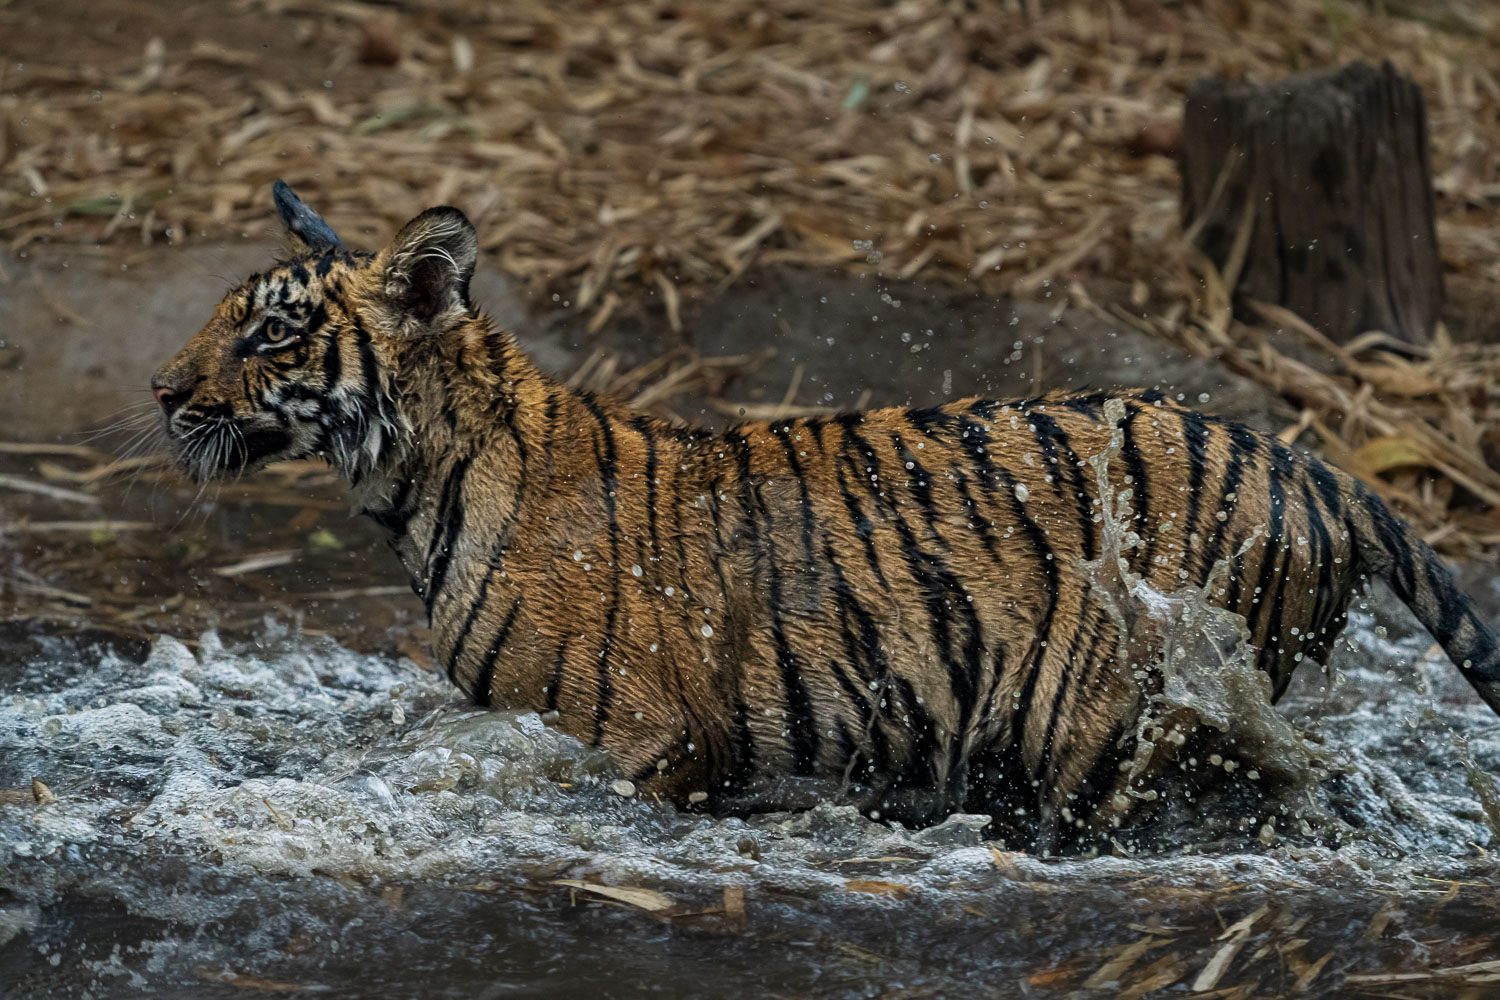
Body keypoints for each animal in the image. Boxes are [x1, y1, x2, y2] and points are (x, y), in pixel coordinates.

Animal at [149, 181, 1500, 852]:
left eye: (268, 335)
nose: (161, 391)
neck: (420, 482)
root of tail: (1313, 460)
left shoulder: (654, 743)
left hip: (1108, 713)